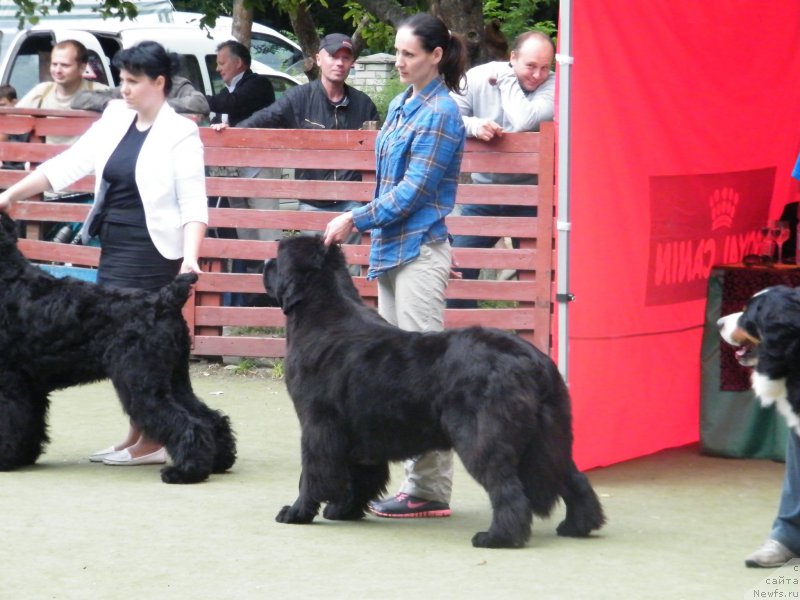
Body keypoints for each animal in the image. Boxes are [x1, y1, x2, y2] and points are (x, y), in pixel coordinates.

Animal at [264, 236, 608, 548]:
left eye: (278, 257)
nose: (264, 263)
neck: (320, 315)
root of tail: (533, 361)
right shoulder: (361, 432)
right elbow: (361, 476)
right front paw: (344, 510)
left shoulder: (317, 425)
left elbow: (312, 474)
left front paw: (296, 512)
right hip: (549, 437)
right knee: (572, 477)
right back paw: (578, 525)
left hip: (482, 438)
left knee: (507, 488)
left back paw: (497, 537)